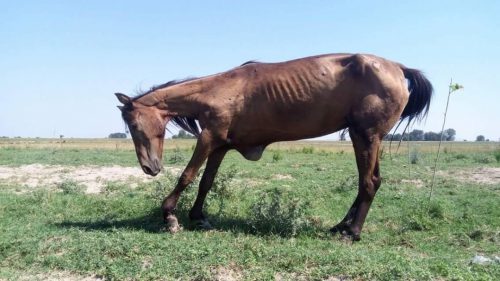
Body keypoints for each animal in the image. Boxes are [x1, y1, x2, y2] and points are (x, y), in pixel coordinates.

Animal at [115, 53, 432, 240]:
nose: (149, 167)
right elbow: (207, 182)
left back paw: (351, 231)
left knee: (368, 182)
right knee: (372, 181)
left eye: (134, 126)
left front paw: (170, 216)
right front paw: (199, 217)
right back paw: (341, 225)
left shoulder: (207, 137)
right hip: (367, 137)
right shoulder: (220, 144)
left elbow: (187, 176)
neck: (218, 91)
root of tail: (398, 68)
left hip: (365, 135)